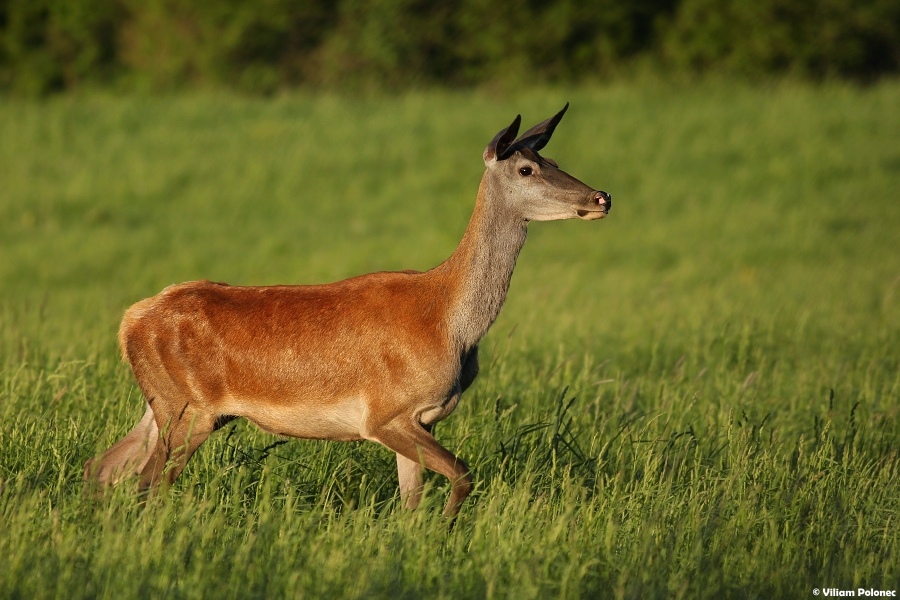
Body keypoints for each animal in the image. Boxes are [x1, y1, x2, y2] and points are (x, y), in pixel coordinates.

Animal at [84, 103, 612, 516]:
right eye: (526, 170)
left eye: (553, 158)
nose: (601, 196)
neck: (449, 322)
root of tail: (130, 321)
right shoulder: (384, 414)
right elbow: (463, 475)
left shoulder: (421, 418)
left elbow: (411, 503)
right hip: (189, 408)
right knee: (148, 483)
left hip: (160, 403)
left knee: (102, 467)